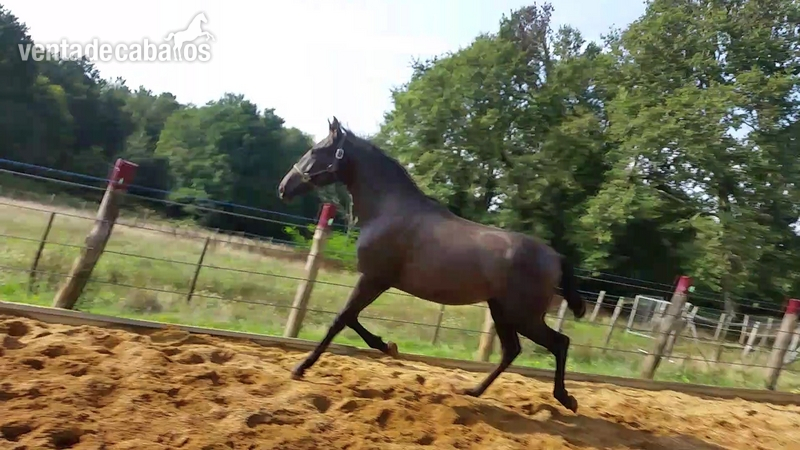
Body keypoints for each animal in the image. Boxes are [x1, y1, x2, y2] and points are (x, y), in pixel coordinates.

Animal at [277, 117, 587, 413]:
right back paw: (474, 391)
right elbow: (350, 318)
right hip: (501, 311)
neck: (388, 211)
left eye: (315, 151)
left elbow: (341, 319)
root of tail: (555, 257)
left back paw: (566, 399)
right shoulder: (375, 280)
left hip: (523, 316)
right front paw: (388, 346)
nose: (283, 188)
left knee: (559, 343)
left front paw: (301, 368)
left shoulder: (374, 279)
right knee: (512, 350)